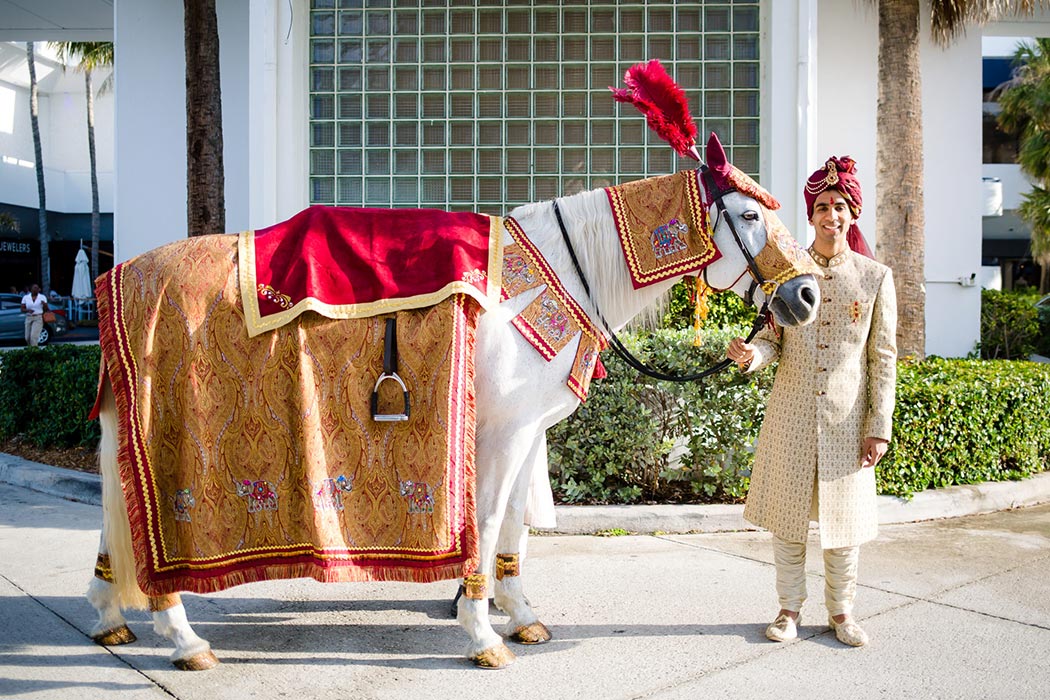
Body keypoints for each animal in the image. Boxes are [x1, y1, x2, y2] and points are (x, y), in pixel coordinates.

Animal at [86, 140, 818, 667]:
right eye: (750, 215)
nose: (806, 295)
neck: (557, 272)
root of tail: (125, 275)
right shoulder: (503, 433)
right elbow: (489, 521)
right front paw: (480, 630)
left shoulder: (526, 432)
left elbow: (515, 526)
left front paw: (519, 616)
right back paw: (182, 637)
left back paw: (110, 615)